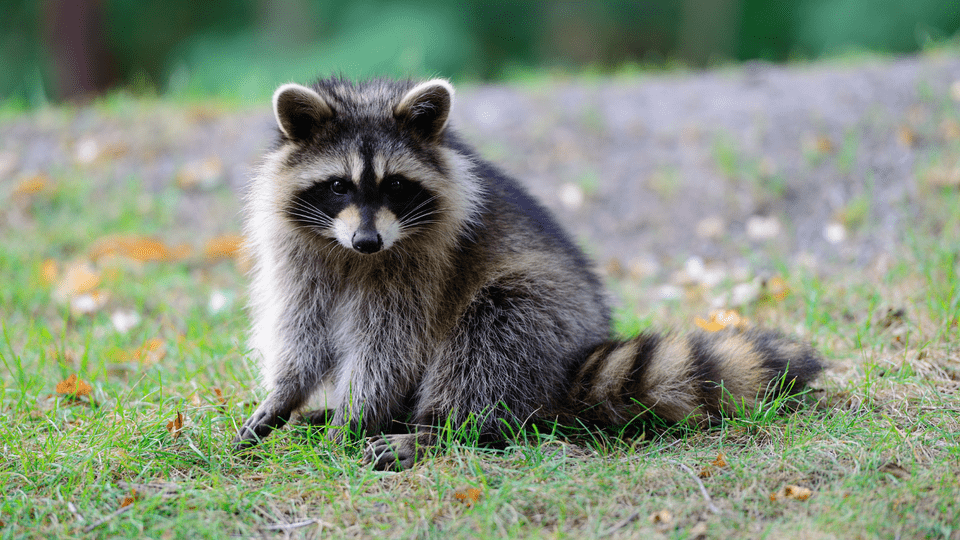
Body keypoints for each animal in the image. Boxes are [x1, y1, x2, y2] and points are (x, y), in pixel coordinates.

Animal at [231, 76, 816, 468]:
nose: (369, 241)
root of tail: (575, 360)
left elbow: (389, 347)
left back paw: (439, 430)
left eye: (395, 185)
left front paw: (355, 416)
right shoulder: (300, 255)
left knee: (490, 339)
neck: (351, 255)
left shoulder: (420, 267)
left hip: (541, 313)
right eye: (338, 186)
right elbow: (302, 331)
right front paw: (285, 396)